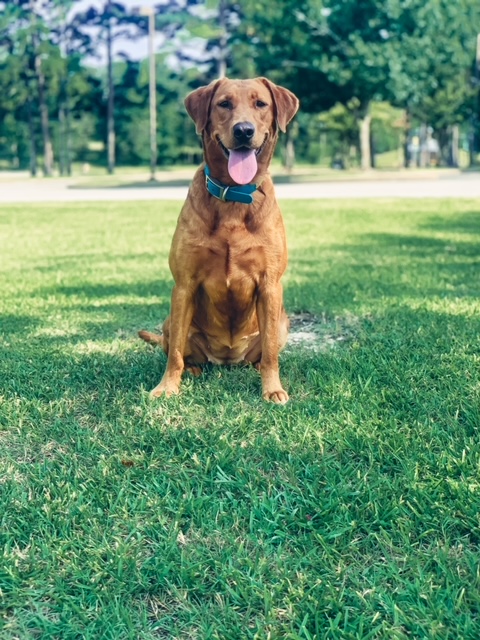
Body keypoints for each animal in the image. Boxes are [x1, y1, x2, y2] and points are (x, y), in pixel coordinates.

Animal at [137, 76, 298, 404]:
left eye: (260, 104)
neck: (233, 195)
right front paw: (167, 386)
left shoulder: (270, 284)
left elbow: (271, 354)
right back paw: (193, 369)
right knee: (176, 347)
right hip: (170, 319)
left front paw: (272, 388)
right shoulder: (183, 285)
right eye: (224, 103)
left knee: (264, 353)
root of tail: (226, 359)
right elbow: (174, 353)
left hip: (283, 322)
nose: (243, 130)